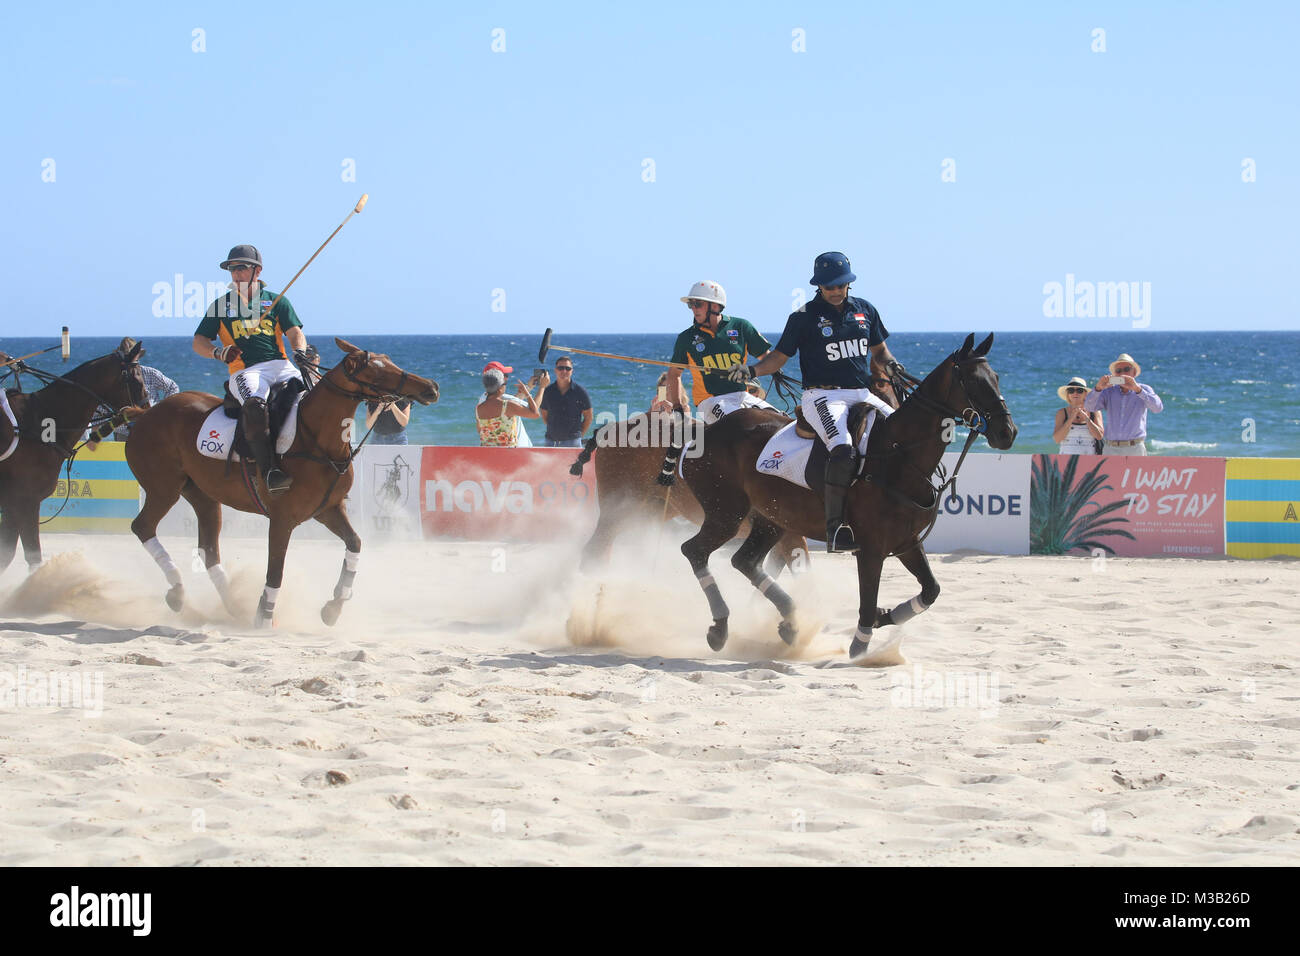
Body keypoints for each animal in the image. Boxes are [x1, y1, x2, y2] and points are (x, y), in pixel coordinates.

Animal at [0, 348, 147, 580]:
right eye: (137, 380)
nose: (148, 412)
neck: (41, 421)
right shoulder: (25, 501)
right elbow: (32, 556)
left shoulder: (12, 504)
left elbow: (6, 555)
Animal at [127, 338, 441, 629]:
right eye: (377, 372)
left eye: (390, 360)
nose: (432, 387)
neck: (316, 439)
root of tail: (144, 414)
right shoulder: (282, 518)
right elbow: (275, 571)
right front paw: (265, 617)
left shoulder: (328, 509)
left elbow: (355, 543)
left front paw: (334, 606)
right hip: (164, 488)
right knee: (143, 527)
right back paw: (179, 592)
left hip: (202, 494)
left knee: (208, 550)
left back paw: (232, 606)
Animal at [681, 338, 1013, 665]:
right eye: (973, 382)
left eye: (996, 378)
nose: (1007, 432)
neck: (898, 457)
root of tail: (705, 432)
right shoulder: (870, 548)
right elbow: (867, 601)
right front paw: (861, 647)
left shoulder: (906, 541)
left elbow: (931, 590)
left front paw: (882, 617)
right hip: (726, 512)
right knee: (694, 551)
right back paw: (720, 627)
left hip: (771, 517)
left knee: (745, 560)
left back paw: (790, 623)